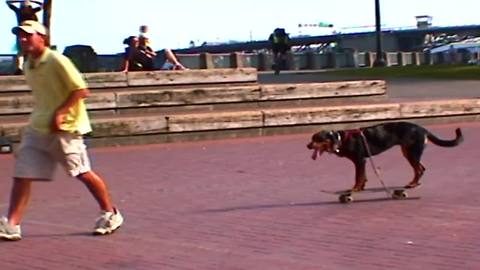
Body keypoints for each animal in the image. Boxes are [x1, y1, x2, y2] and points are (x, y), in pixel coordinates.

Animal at [306, 121, 464, 191]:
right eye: (312, 138)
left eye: (318, 139)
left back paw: (412, 184)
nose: (307, 146)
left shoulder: (359, 160)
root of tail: (423, 129)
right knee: (421, 168)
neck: (340, 140)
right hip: (408, 152)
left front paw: (355, 189)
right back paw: (415, 183)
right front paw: (361, 187)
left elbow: (358, 177)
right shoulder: (363, 161)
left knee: (419, 169)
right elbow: (363, 176)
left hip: (411, 152)